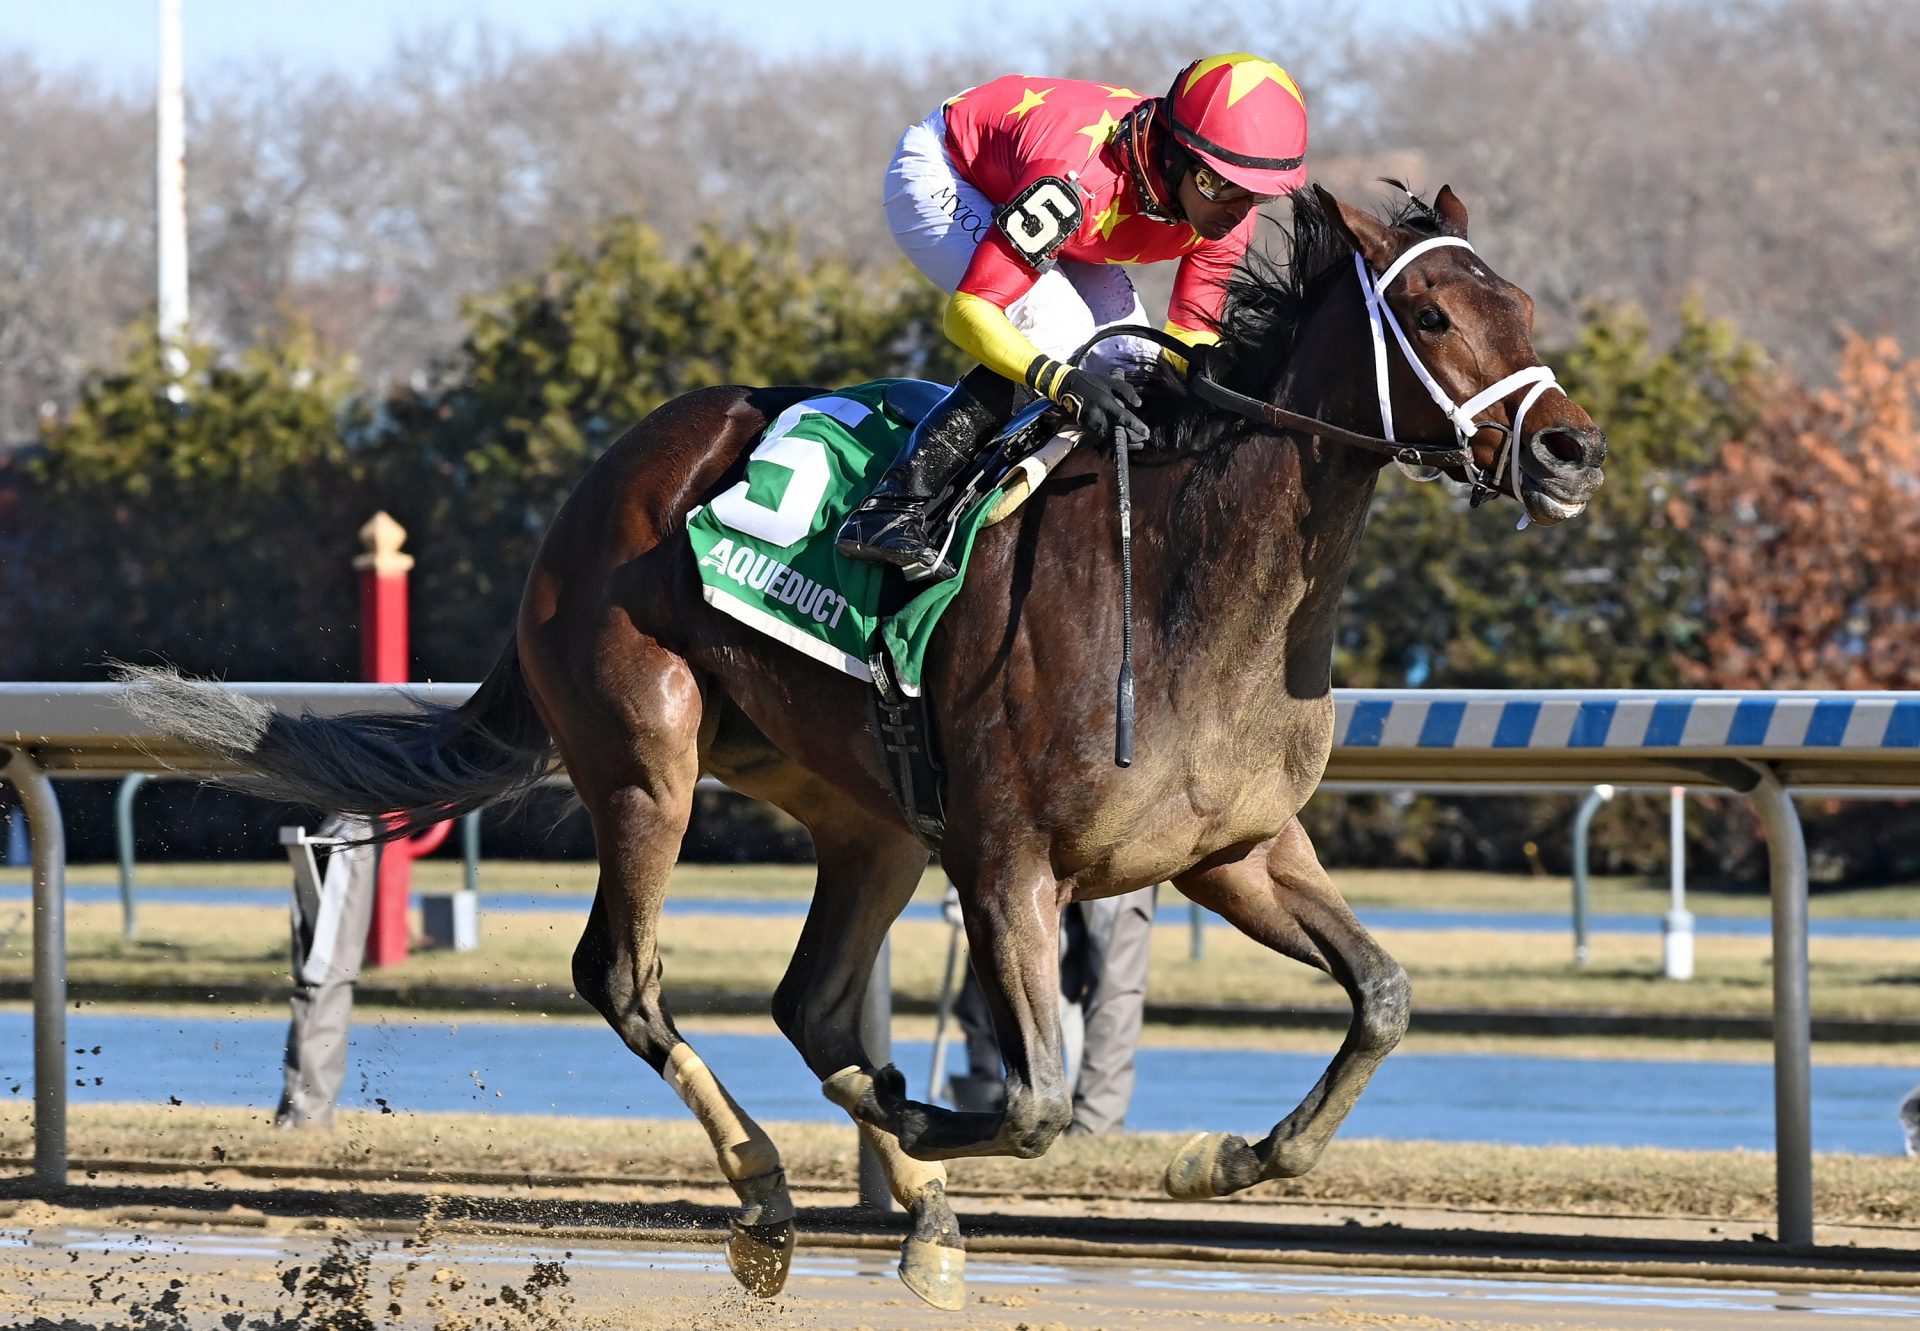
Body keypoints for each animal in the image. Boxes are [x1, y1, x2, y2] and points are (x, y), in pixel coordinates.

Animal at [123, 184, 1605, 1306]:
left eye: (1526, 309)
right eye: (1430, 314)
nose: (1572, 449)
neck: (1187, 581)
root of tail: (596, 484)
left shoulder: (1233, 851)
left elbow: (1385, 993)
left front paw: (1216, 1160)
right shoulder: (1010, 864)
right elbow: (1036, 1099)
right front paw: (923, 1118)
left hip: (869, 815)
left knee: (811, 997)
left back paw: (919, 1206)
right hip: (647, 759)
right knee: (625, 976)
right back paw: (773, 1188)